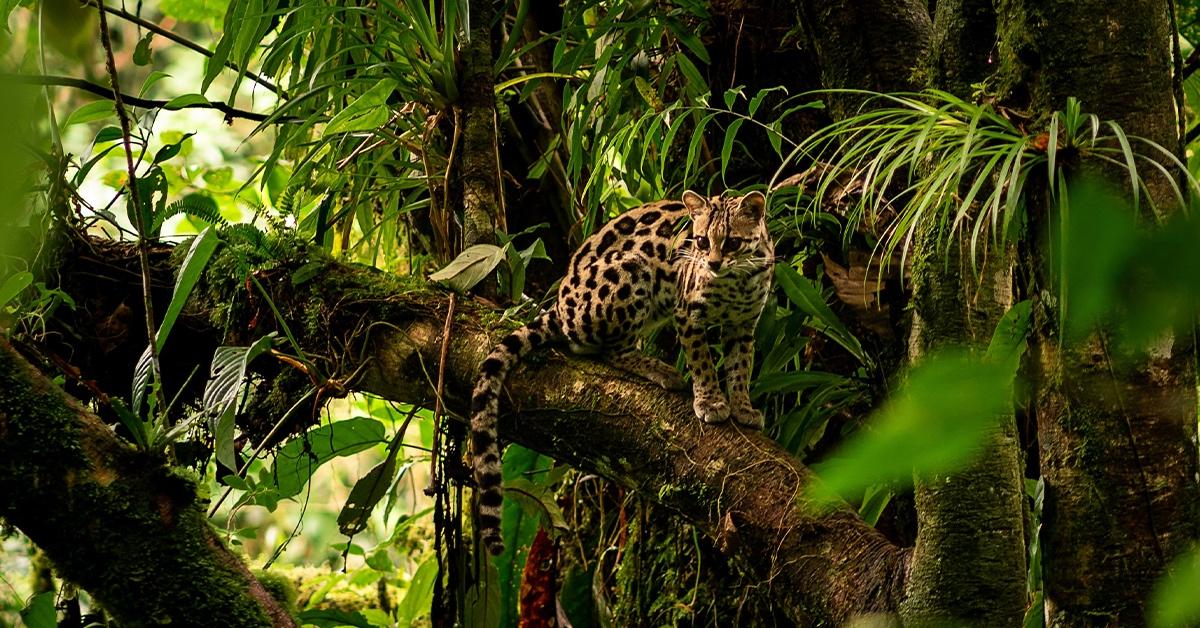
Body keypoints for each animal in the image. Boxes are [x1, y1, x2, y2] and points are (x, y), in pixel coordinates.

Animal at [465, 192, 768, 554]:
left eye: (733, 242)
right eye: (701, 241)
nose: (713, 264)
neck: (737, 282)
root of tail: (558, 305)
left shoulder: (744, 325)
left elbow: (741, 367)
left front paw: (743, 406)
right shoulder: (687, 312)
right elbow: (703, 362)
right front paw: (710, 402)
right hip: (632, 268)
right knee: (608, 350)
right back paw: (660, 369)